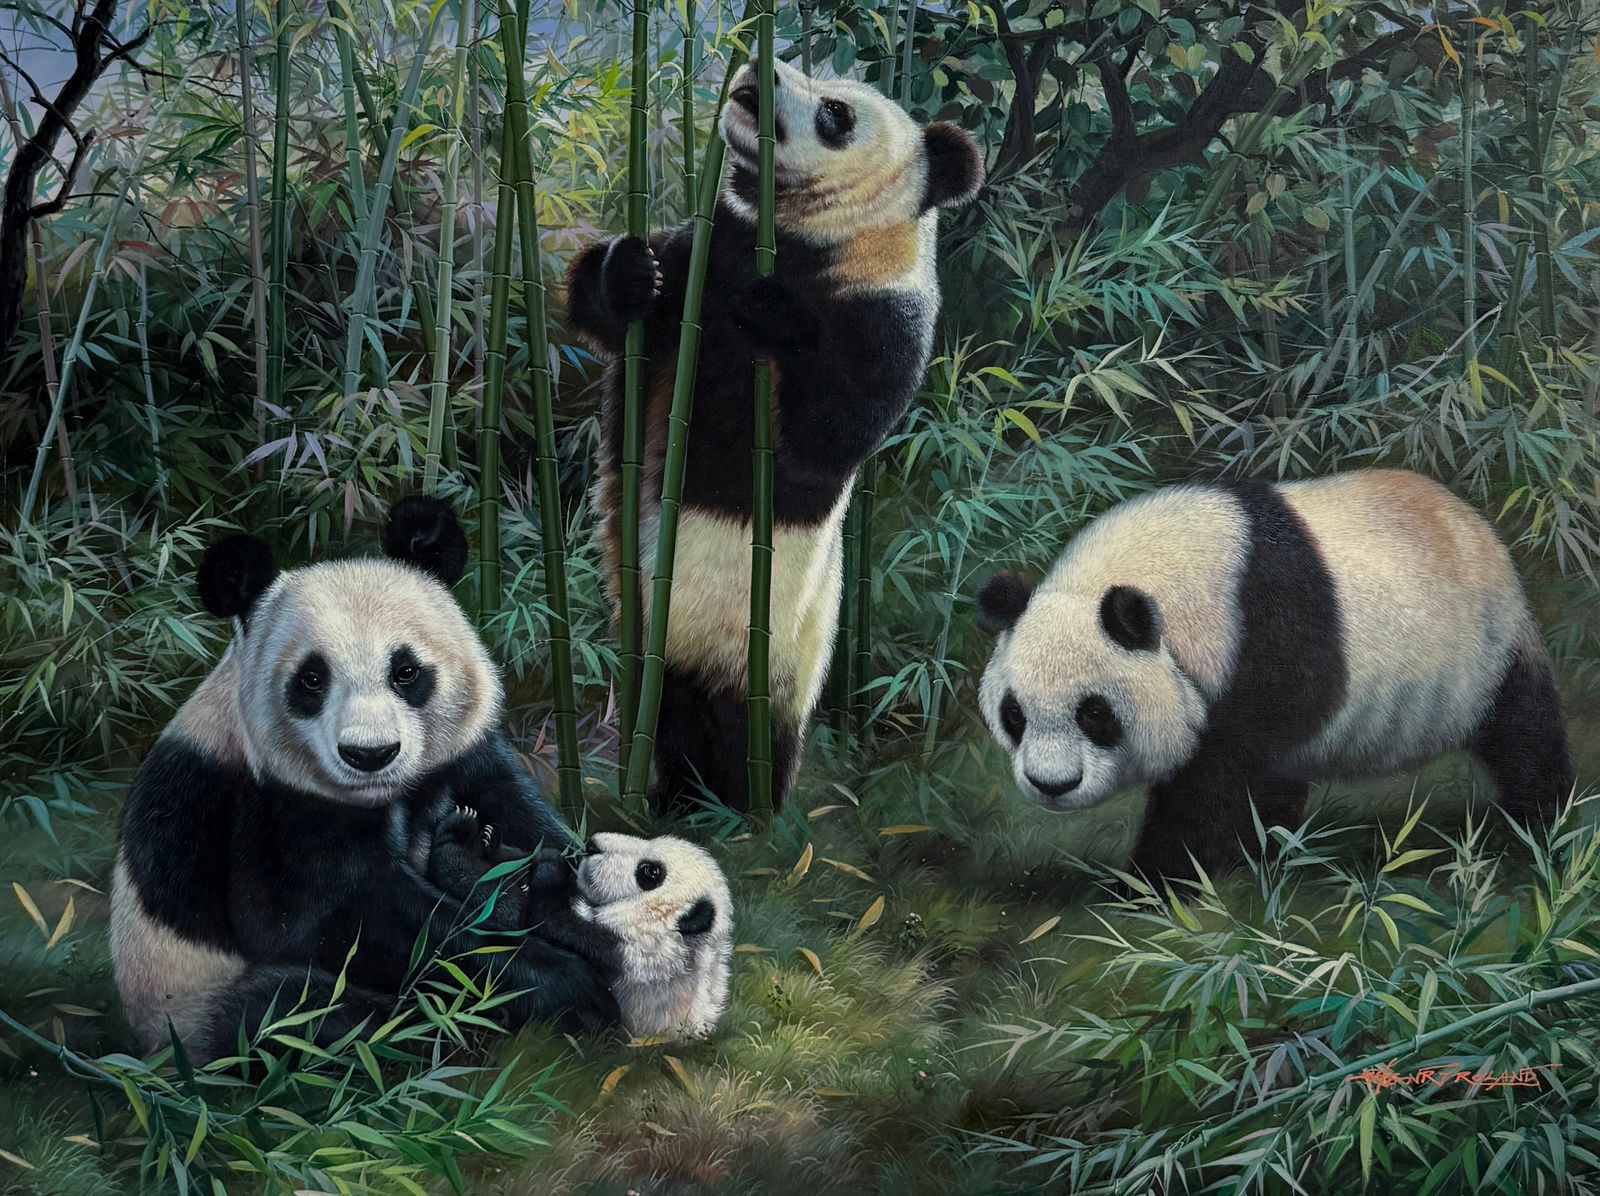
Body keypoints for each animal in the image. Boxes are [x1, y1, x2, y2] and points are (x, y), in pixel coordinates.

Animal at [110, 497, 622, 1062]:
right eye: (312, 680)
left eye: (405, 671)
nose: (370, 754)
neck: (388, 795)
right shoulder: (267, 811)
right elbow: (337, 922)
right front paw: (570, 984)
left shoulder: (466, 759)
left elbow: (532, 824)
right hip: (190, 1007)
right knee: (289, 1015)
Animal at [426, 820, 734, 1039]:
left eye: (650, 872)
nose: (592, 844)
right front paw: (491, 840)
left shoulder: (630, 956)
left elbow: (538, 918)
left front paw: (549, 862)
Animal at [566, 58, 984, 815]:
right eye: (814, 71)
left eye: (835, 113)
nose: (759, 69)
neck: (792, 234)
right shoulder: (704, 248)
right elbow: (609, 309)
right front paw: (631, 274)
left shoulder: (879, 314)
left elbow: (832, 429)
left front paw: (771, 315)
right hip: (648, 632)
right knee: (666, 709)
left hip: (772, 655)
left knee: (739, 734)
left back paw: (732, 809)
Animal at [975, 469, 1574, 885]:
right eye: (1014, 714)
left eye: (1095, 713)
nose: (1053, 785)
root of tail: (1474, 522)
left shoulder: (1267, 642)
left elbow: (1217, 778)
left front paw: (1151, 883)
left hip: (1484, 651)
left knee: (1524, 733)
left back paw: (1541, 821)